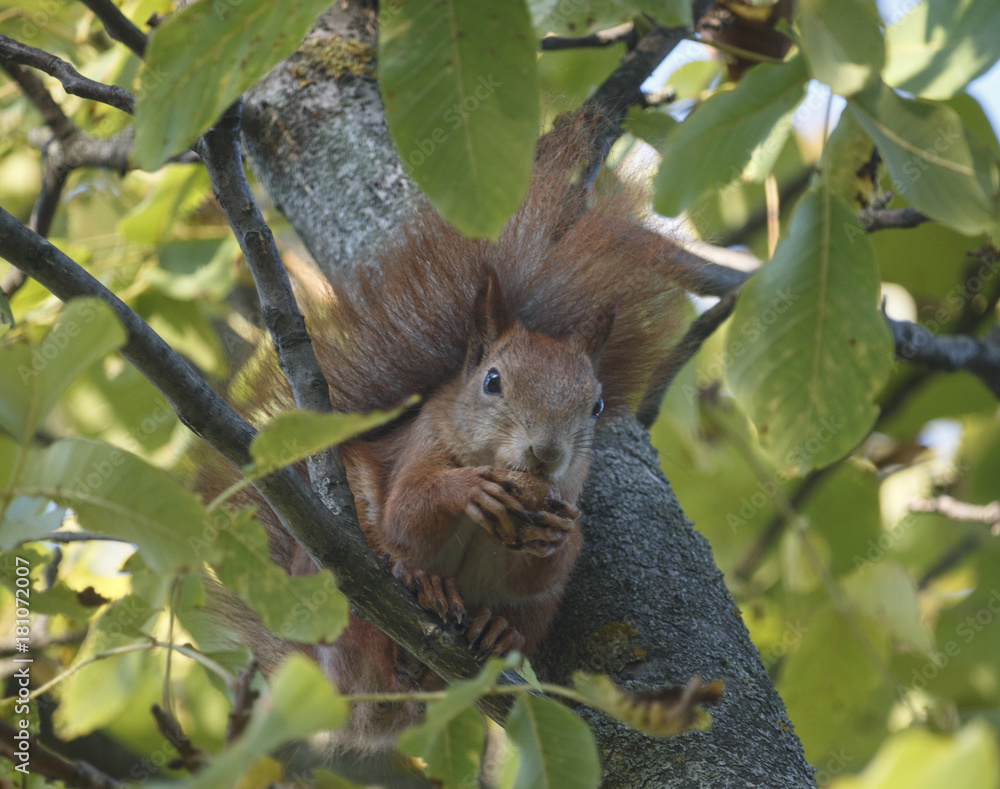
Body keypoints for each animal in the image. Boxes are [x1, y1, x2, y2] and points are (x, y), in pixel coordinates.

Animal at [196, 116, 689, 750]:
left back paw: (495, 629)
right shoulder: (421, 444)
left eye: (597, 404)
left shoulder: (566, 501)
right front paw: (467, 490)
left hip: (535, 616)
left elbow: (546, 565)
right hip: (340, 590)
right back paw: (418, 585)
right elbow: (408, 512)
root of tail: (352, 700)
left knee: (519, 617)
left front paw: (559, 535)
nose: (547, 453)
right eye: (492, 381)